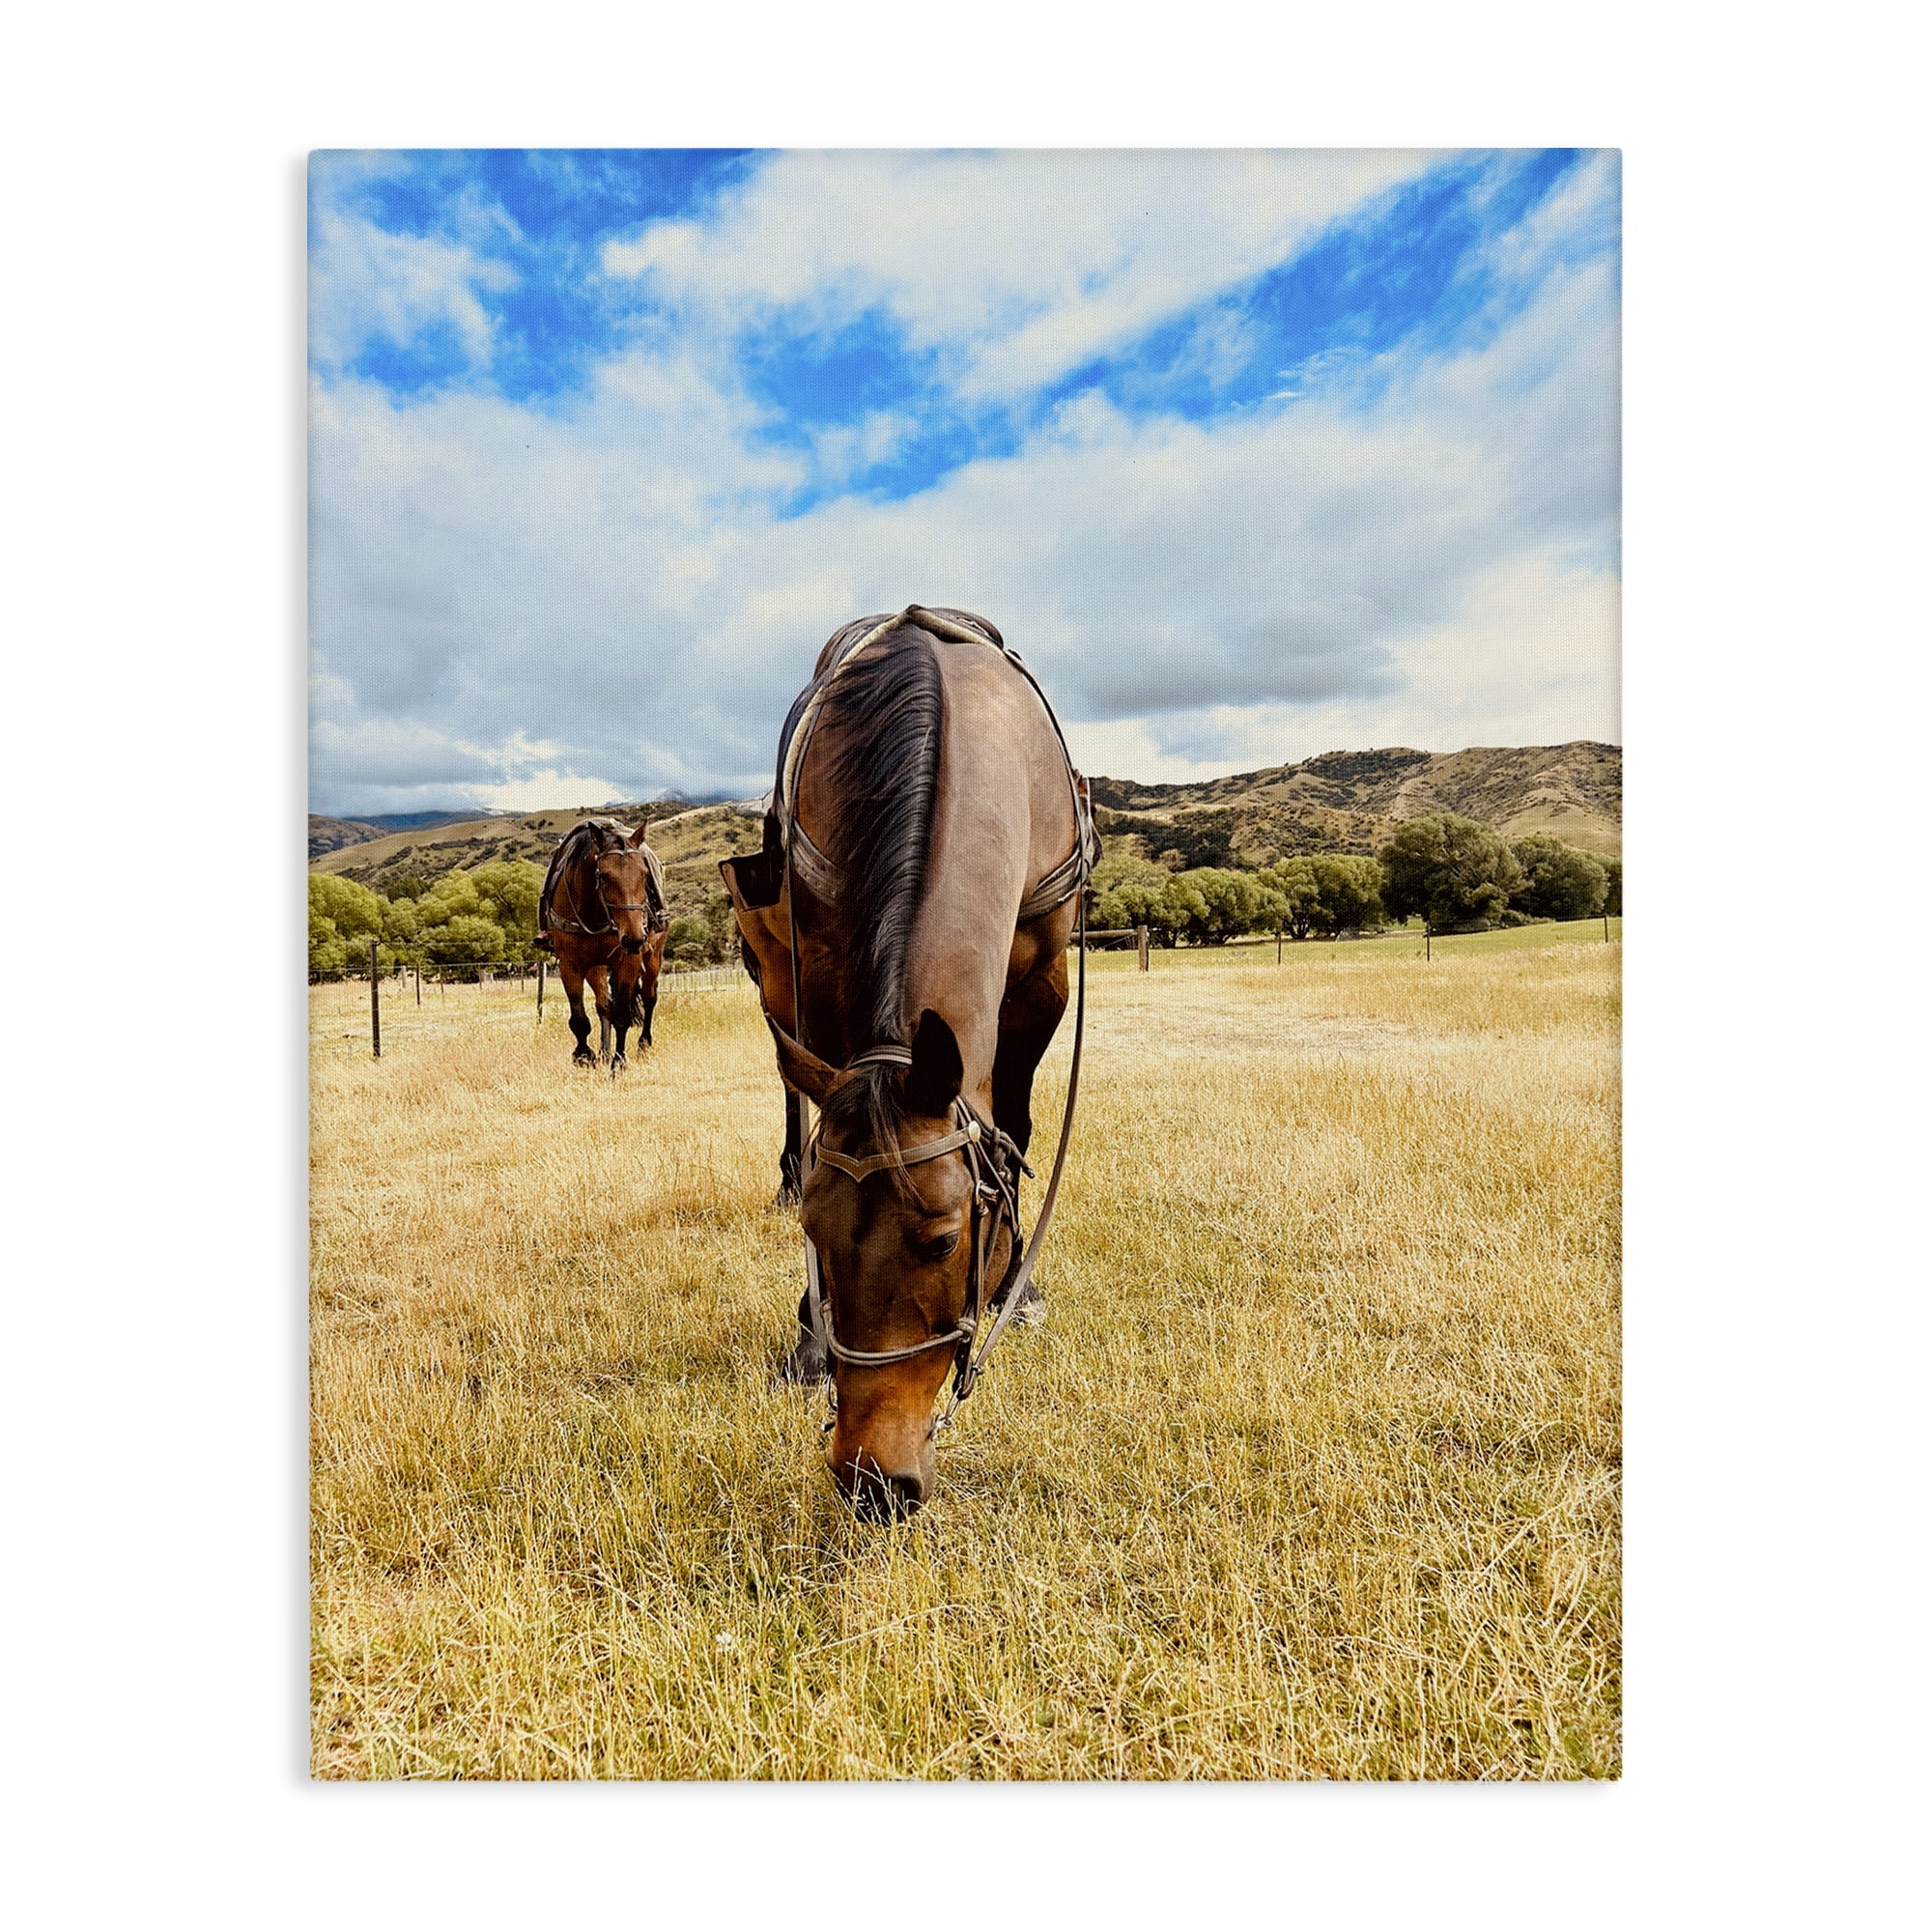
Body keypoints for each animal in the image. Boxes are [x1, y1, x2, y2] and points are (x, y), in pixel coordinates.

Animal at [537, 817, 669, 1072]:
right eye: (604, 876)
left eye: (644, 875)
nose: (634, 937)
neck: (595, 912)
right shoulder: (570, 964)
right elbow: (580, 1018)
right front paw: (584, 1055)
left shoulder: (629, 960)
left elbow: (622, 1015)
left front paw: (619, 1063)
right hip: (596, 965)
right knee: (604, 1004)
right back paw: (604, 1051)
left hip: (653, 957)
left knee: (649, 998)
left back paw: (643, 1044)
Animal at [719, 605, 1099, 1519]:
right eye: (817, 1231)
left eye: (945, 1239)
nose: (871, 1482)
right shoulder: (822, 968)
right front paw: (809, 1335)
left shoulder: (1043, 972)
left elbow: (1016, 1122)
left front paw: (1018, 1287)